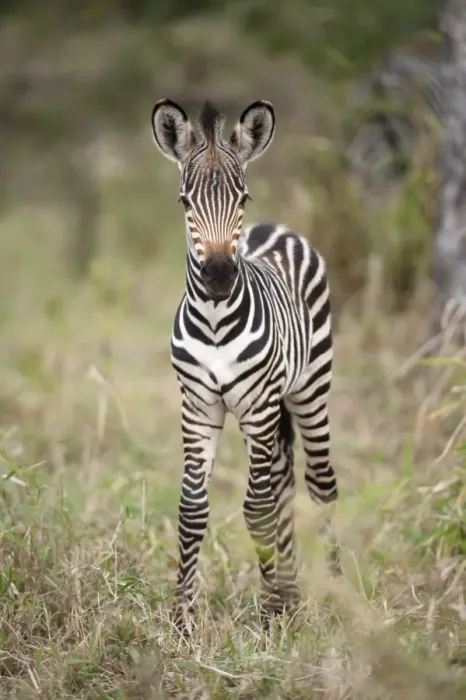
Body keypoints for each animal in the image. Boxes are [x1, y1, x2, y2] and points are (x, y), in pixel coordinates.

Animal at [151, 98, 340, 631]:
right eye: (185, 202)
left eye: (243, 197)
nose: (217, 276)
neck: (216, 322)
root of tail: (277, 227)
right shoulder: (198, 407)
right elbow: (193, 509)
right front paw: (183, 619)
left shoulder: (257, 408)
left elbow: (256, 511)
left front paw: (271, 613)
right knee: (284, 481)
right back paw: (293, 590)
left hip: (309, 390)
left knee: (320, 485)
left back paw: (339, 594)